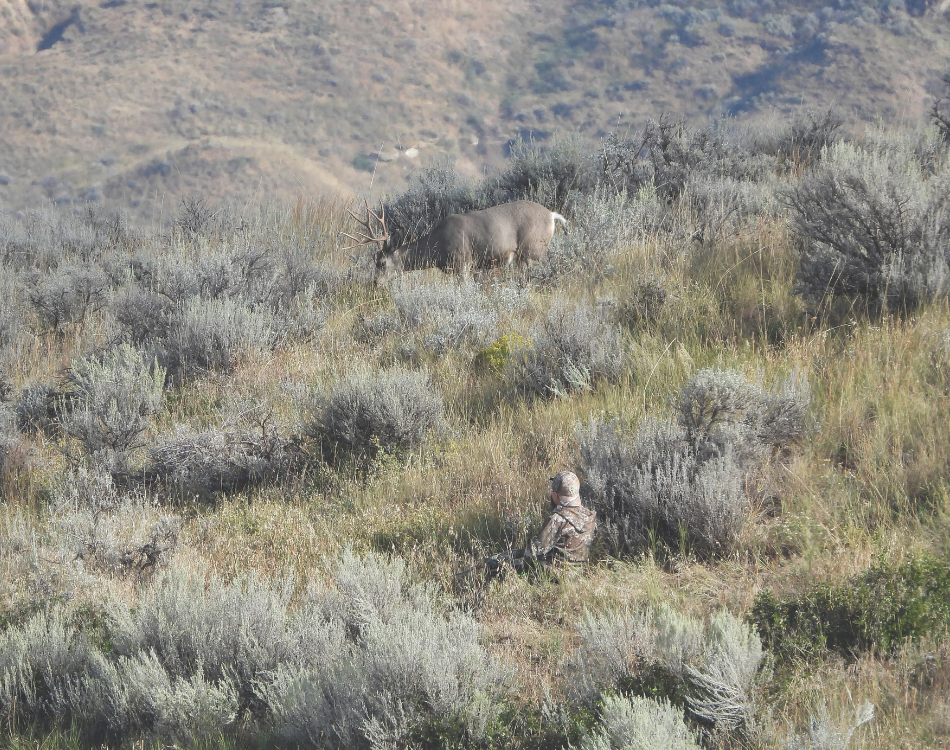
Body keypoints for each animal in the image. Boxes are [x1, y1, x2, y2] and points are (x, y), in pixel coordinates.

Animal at [342, 201, 564, 284]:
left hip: (535, 247)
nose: (375, 282)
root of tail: (551, 216)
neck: (438, 245)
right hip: (524, 256)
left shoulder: (463, 263)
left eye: (382, 263)